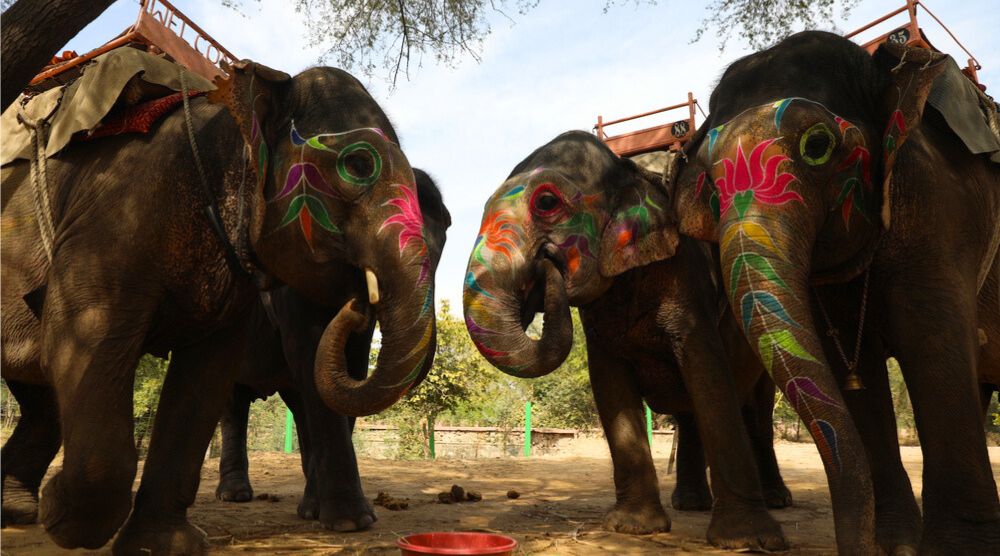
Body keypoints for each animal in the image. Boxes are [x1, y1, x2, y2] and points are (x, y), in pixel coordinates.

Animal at [215, 168, 450, 532]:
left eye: (440, 246)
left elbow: (350, 371)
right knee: (234, 402)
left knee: (298, 403)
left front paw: (315, 511)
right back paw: (234, 494)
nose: (356, 303)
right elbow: (311, 355)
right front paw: (350, 522)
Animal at [462, 131, 788, 550]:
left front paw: (747, 540)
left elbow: (709, 376)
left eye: (547, 202)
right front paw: (634, 528)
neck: (629, 170)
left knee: (758, 412)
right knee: (692, 413)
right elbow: (610, 386)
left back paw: (776, 501)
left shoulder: (688, 281)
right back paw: (691, 505)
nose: (546, 263)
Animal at [666, 31, 1000, 553]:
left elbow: (933, 341)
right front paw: (895, 546)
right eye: (710, 187)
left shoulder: (941, 199)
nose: (857, 545)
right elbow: (855, 371)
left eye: (818, 146)